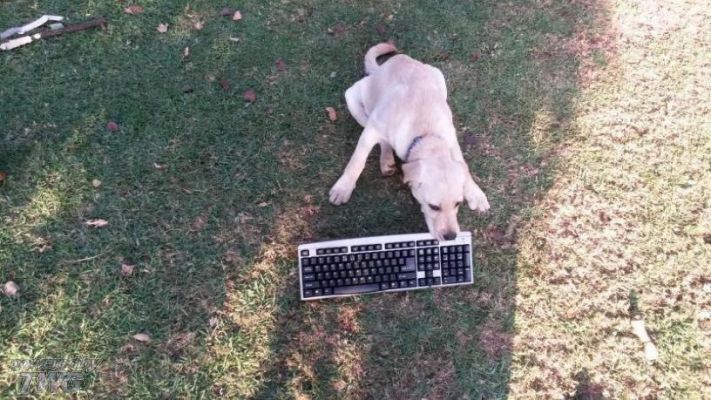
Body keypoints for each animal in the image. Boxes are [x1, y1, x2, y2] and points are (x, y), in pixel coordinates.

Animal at [329, 43, 490, 241]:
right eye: (433, 206)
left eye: (458, 204)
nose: (451, 237)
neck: (426, 134)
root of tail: (382, 67)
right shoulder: (371, 131)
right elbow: (356, 162)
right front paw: (343, 188)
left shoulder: (451, 139)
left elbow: (463, 165)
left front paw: (476, 193)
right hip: (353, 98)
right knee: (378, 136)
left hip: (439, 76)